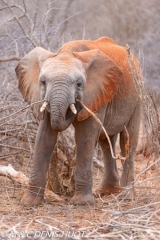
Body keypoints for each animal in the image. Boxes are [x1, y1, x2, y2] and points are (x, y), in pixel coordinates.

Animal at [14, 36, 140, 205]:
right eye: (43, 82)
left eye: (79, 84)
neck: (67, 53)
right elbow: (44, 137)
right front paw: (29, 203)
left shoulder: (95, 93)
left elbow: (84, 137)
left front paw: (81, 203)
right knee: (106, 142)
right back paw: (105, 192)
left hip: (138, 96)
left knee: (128, 140)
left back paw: (126, 196)